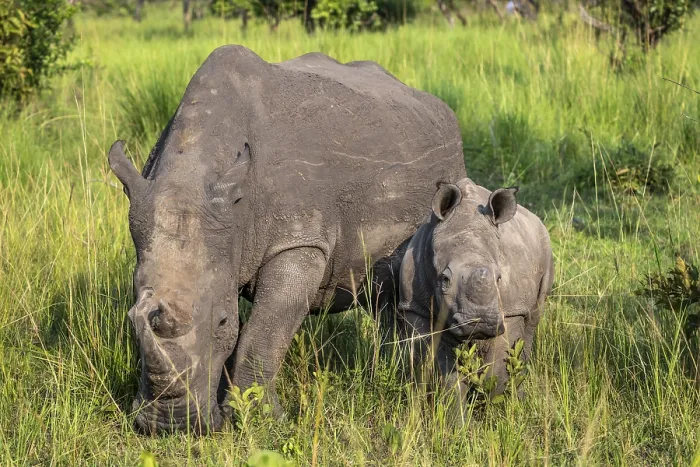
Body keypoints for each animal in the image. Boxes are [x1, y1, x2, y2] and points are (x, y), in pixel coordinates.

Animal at [108, 44, 467, 434]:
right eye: (131, 320)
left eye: (221, 321)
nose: (169, 426)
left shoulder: (300, 240)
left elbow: (264, 331)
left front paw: (259, 418)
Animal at [398, 178, 554, 397]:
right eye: (445, 279)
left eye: (499, 278)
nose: (481, 323)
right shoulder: (416, 307)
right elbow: (443, 372)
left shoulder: (511, 311)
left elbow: (497, 371)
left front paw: (493, 403)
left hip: (545, 247)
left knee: (532, 322)